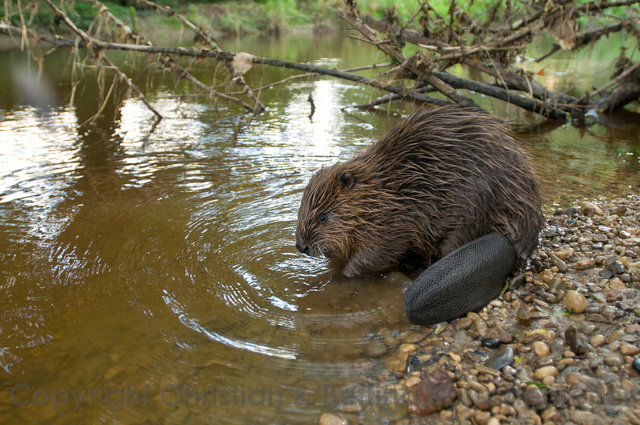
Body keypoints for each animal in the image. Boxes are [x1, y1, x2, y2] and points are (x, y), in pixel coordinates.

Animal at [298, 104, 544, 322]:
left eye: (323, 217)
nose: (301, 247)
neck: (384, 192)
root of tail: (511, 239)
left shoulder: (391, 224)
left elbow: (372, 257)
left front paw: (335, 279)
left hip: (473, 211)